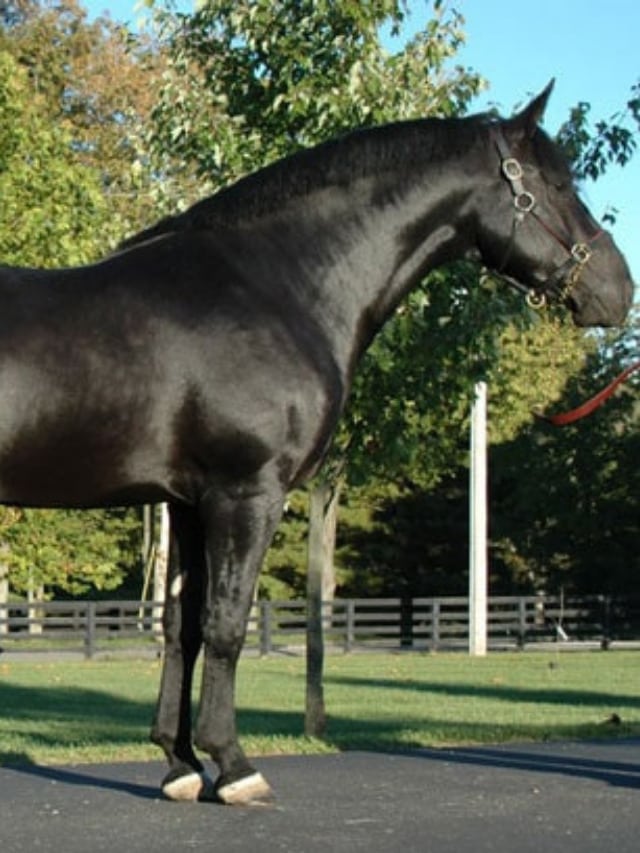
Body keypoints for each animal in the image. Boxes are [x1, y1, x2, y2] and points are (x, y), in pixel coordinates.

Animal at [0, 81, 633, 804]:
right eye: (556, 184)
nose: (618, 288)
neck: (277, 285)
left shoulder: (186, 502)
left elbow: (181, 626)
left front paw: (180, 763)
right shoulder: (246, 491)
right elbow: (226, 623)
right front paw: (234, 766)